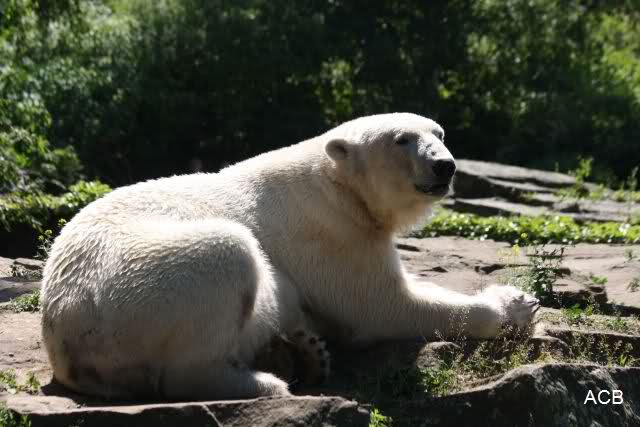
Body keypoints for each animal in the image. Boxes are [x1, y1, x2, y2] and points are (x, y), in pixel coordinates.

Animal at [40, 113, 539, 401]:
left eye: (438, 133)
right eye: (401, 140)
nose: (444, 165)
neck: (334, 181)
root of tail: (64, 332)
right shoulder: (327, 234)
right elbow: (381, 307)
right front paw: (517, 305)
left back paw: (300, 354)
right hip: (136, 291)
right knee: (227, 256)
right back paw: (264, 381)